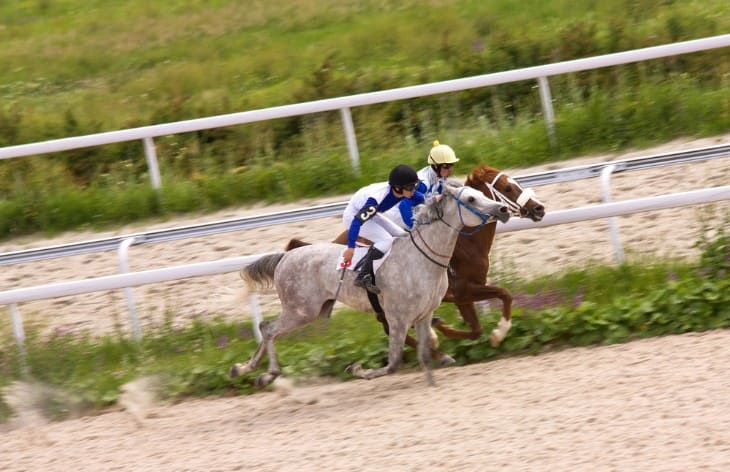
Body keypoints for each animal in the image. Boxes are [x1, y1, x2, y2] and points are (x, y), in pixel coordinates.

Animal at [230, 182, 510, 388]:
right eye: (471, 199)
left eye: (480, 194)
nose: (503, 210)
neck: (423, 258)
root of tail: (285, 257)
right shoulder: (398, 317)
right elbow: (394, 363)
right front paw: (358, 369)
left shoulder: (424, 314)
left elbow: (424, 352)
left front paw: (432, 382)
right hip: (301, 311)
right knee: (267, 329)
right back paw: (264, 373)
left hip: (312, 310)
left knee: (267, 330)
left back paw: (245, 369)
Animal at [284, 166, 540, 366]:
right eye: (507, 188)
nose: (539, 208)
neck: (463, 242)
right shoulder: (463, 291)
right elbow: (502, 295)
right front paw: (497, 334)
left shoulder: (463, 293)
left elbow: (480, 324)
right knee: (391, 328)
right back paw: (437, 350)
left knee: (388, 327)